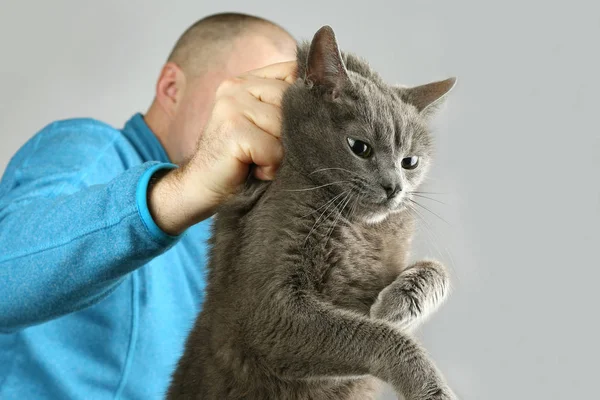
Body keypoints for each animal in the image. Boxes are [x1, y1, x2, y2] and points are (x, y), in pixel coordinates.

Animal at [166, 25, 458, 400]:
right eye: (359, 147)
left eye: (411, 162)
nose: (394, 187)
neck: (360, 229)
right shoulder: (270, 310)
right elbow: (379, 337)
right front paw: (432, 388)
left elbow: (438, 271)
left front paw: (394, 307)